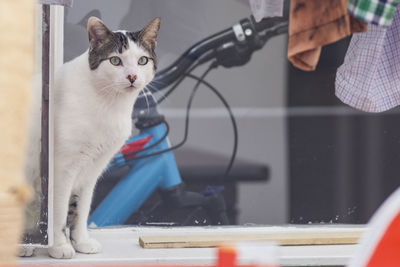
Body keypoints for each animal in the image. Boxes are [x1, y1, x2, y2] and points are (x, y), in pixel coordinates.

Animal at [21, 16, 161, 260]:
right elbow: (58, 211)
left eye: (142, 60)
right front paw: (59, 246)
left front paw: (81, 242)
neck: (109, 104)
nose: (132, 76)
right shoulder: (61, 168)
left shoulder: (92, 168)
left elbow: (81, 209)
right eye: (115, 60)